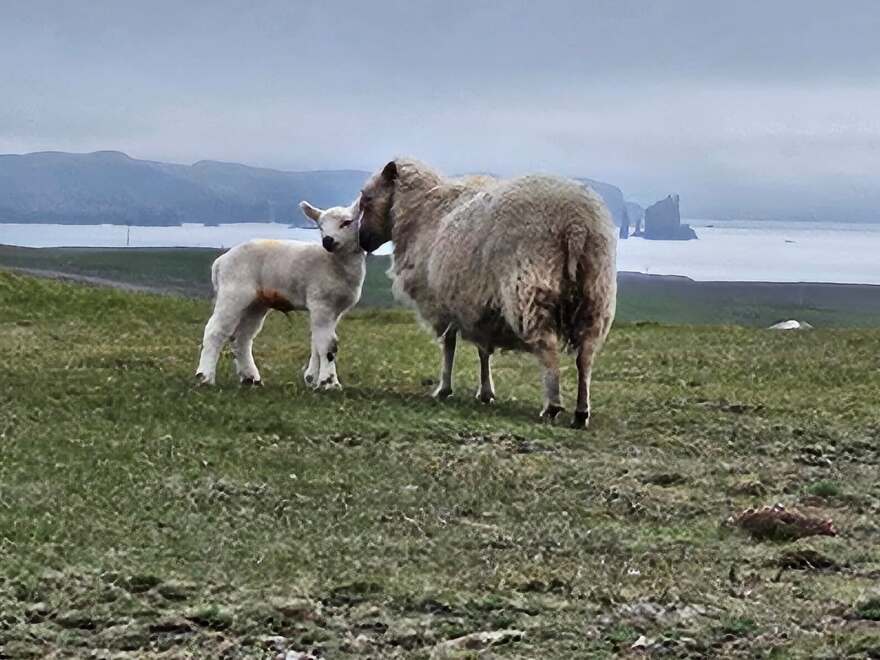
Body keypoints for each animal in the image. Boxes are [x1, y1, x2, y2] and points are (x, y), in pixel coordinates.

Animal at [195, 199, 365, 389]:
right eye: (320, 226)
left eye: (347, 222)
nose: (327, 240)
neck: (335, 263)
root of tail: (220, 262)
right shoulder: (321, 302)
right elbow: (329, 345)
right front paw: (329, 383)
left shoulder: (335, 310)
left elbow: (317, 342)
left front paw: (312, 379)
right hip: (233, 293)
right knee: (214, 331)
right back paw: (205, 377)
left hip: (256, 303)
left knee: (242, 338)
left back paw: (251, 379)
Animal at [358, 159, 617, 428]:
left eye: (367, 199)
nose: (362, 241)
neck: (423, 214)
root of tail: (576, 225)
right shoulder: (478, 302)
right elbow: (483, 350)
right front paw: (485, 392)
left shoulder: (442, 303)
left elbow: (449, 345)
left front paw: (444, 389)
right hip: (596, 294)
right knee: (585, 355)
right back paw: (581, 412)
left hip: (529, 288)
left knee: (548, 347)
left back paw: (552, 406)